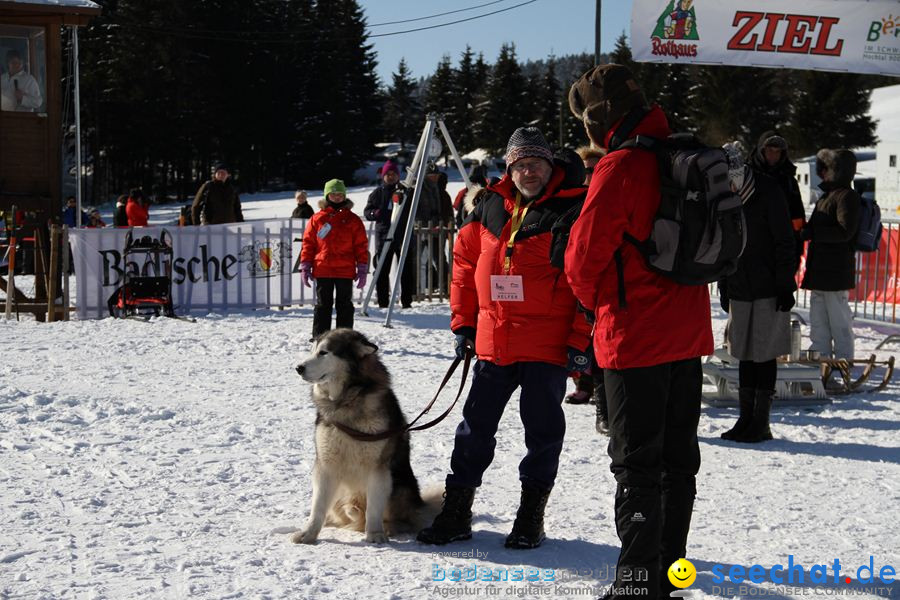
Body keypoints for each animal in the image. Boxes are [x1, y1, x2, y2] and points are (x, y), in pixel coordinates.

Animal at [294, 328, 438, 544]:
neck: (347, 400)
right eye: (312, 351)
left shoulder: (379, 468)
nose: (298, 368)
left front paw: (376, 534)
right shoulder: (326, 464)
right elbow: (318, 506)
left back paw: (388, 527)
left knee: (397, 518)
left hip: (400, 487)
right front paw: (309, 534)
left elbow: (374, 507)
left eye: (324, 352)